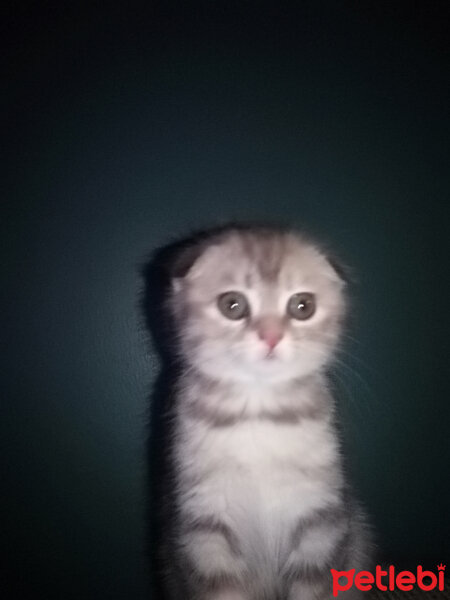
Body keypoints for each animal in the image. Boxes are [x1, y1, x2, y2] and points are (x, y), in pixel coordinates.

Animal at [148, 225, 372, 600]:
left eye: (302, 306)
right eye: (232, 305)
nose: (271, 336)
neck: (259, 413)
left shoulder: (320, 520)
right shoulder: (204, 525)